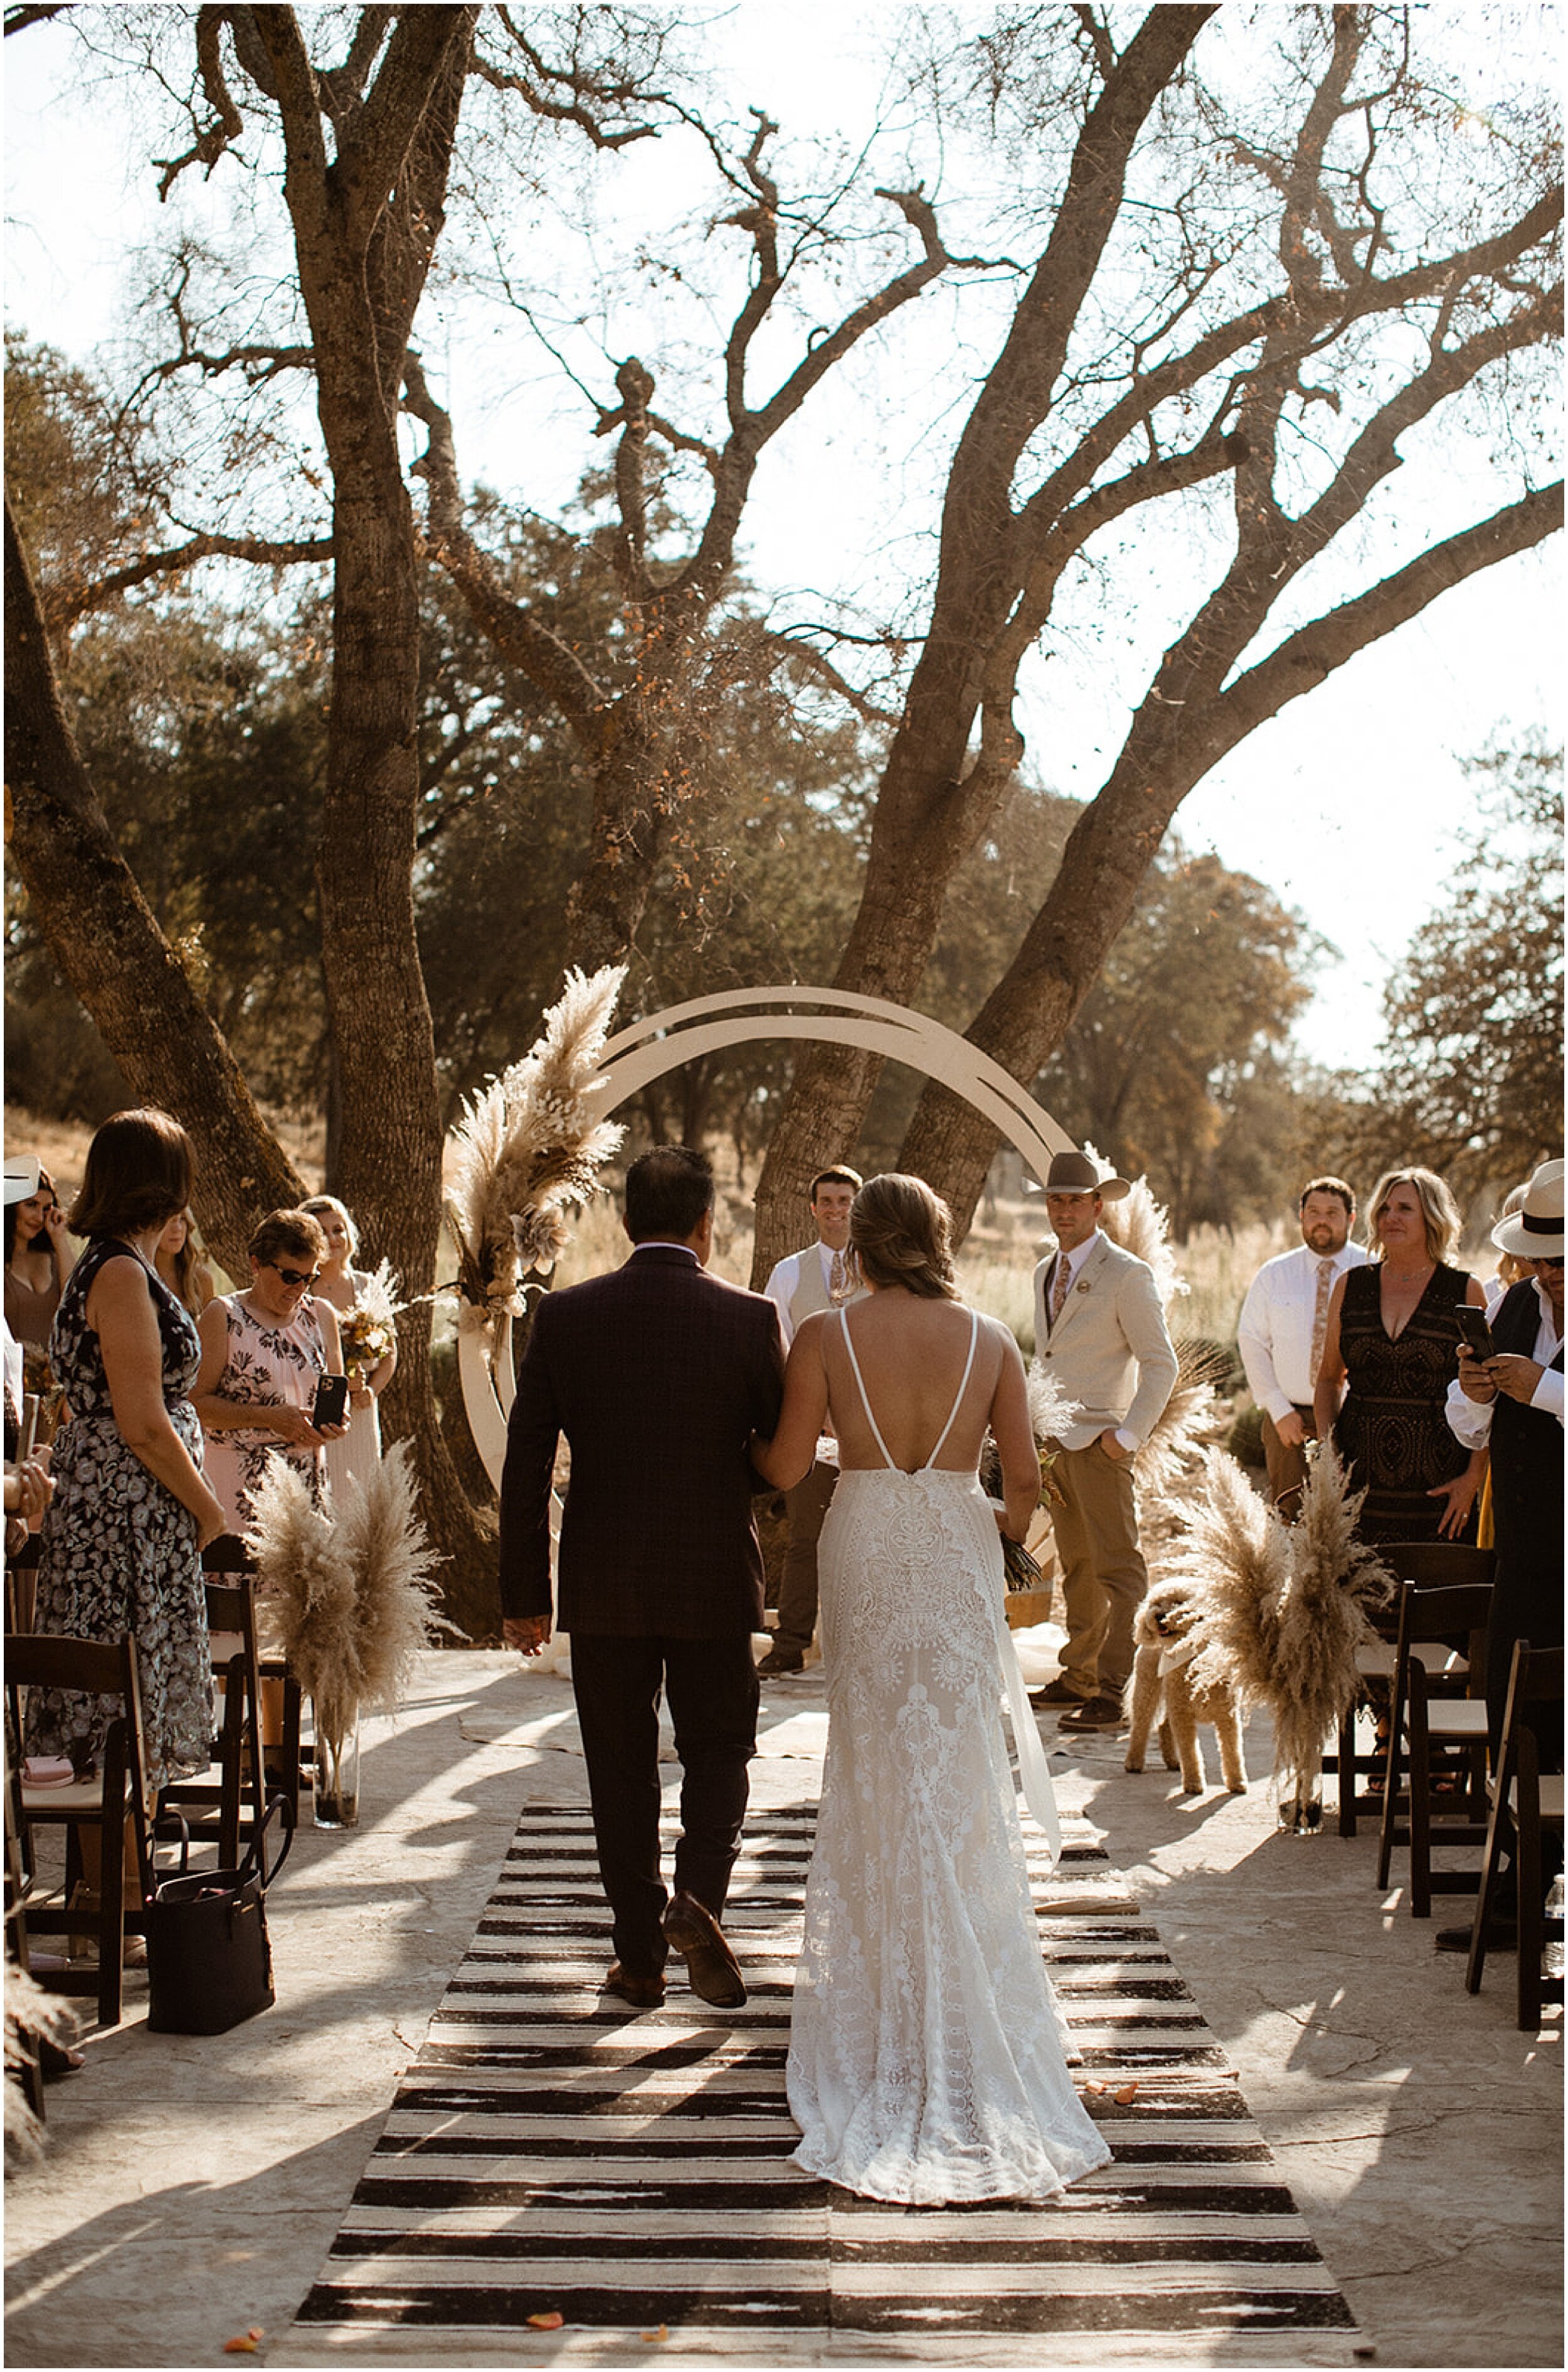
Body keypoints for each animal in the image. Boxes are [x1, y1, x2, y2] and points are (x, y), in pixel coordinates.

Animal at [1120, 1575, 1242, 1793]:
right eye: (1157, 1603)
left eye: (1179, 1603)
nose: (1159, 1616)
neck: (1194, 1656)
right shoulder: (1183, 1713)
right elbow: (1191, 1752)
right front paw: (1194, 1784)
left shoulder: (1227, 1715)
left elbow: (1232, 1751)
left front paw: (1237, 1782)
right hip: (1147, 1689)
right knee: (1141, 1726)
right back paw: (1134, 1762)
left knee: (1164, 1726)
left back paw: (1173, 1761)